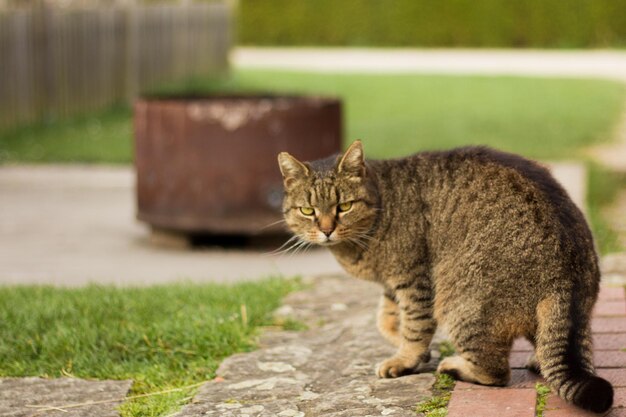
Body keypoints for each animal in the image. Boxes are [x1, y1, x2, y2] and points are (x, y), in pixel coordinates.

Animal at [278, 141, 616, 412]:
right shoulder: (392, 285)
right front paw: (404, 341)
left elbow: (414, 326)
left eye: (344, 206)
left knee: (497, 372)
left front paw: (406, 358)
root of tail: (567, 273)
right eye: (307, 211)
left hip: (460, 303)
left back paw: (456, 366)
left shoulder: (414, 279)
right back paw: (540, 359)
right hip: (572, 317)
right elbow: (386, 320)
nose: (326, 229)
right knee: (565, 349)